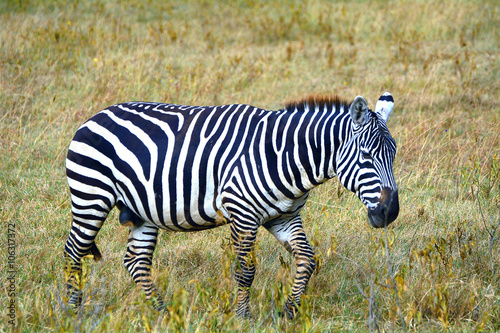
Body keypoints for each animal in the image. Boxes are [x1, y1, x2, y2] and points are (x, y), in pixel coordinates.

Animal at [64, 90, 398, 316]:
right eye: (366, 156)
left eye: (393, 155)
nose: (389, 212)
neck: (286, 156)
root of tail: (96, 116)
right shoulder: (242, 213)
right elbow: (245, 271)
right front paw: (242, 317)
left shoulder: (284, 217)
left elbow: (307, 259)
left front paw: (289, 311)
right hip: (91, 196)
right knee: (73, 252)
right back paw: (72, 311)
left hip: (141, 211)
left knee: (136, 261)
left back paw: (162, 311)